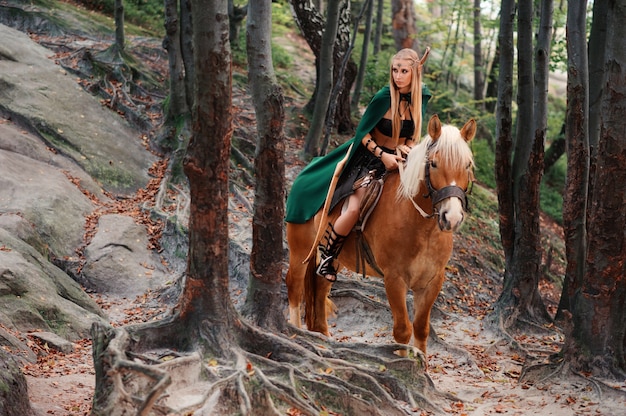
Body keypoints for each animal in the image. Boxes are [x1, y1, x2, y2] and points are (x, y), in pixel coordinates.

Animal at [286, 114, 476, 358]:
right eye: (433, 163)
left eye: (467, 165)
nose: (451, 217)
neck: (422, 229)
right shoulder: (394, 279)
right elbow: (403, 330)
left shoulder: (432, 281)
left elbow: (421, 329)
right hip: (300, 248)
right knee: (295, 286)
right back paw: (295, 332)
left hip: (332, 260)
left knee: (320, 288)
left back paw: (322, 338)